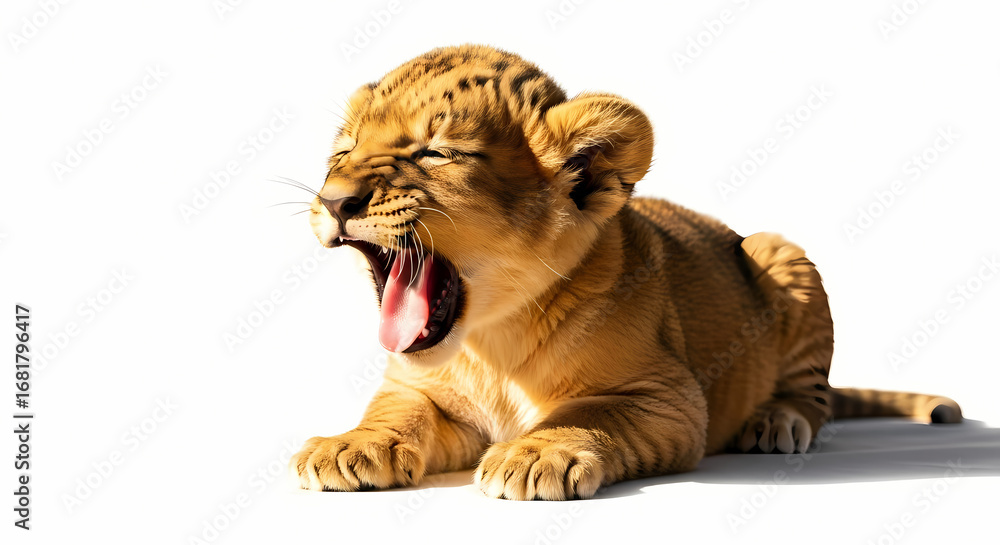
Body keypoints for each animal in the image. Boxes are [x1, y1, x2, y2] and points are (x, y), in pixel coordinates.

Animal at [290, 44, 962, 500]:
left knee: (814, 397)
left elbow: (589, 414)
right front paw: (348, 446)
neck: (490, 343)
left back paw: (776, 421)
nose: (334, 200)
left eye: (436, 152)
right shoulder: (416, 387)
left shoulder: (672, 399)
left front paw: (535, 456)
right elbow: (395, 412)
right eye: (342, 151)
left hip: (782, 253)